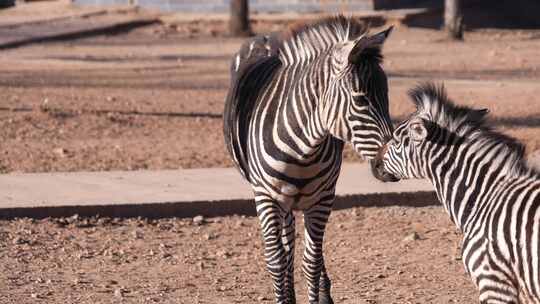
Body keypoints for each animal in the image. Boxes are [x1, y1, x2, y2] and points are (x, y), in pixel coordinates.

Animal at [221, 16, 394, 304]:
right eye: (361, 100)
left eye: (387, 98)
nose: (389, 167)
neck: (302, 151)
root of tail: (267, 37)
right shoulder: (265, 196)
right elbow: (276, 260)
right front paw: (283, 295)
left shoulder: (323, 199)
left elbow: (311, 261)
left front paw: (317, 293)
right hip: (278, 197)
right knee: (286, 243)